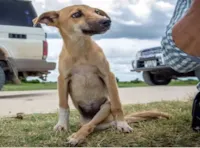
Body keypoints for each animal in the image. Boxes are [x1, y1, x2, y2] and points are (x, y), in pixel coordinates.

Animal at [33, 4, 170, 146]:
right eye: (76, 14)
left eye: (97, 12)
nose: (107, 21)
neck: (80, 49)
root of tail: (107, 121)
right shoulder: (62, 79)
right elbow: (63, 105)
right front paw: (62, 125)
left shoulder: (108, 76)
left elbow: (117, 104)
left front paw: (122, 124)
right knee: (89, 125)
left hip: (105, 108)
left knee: (91, 125)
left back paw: (79, 136)